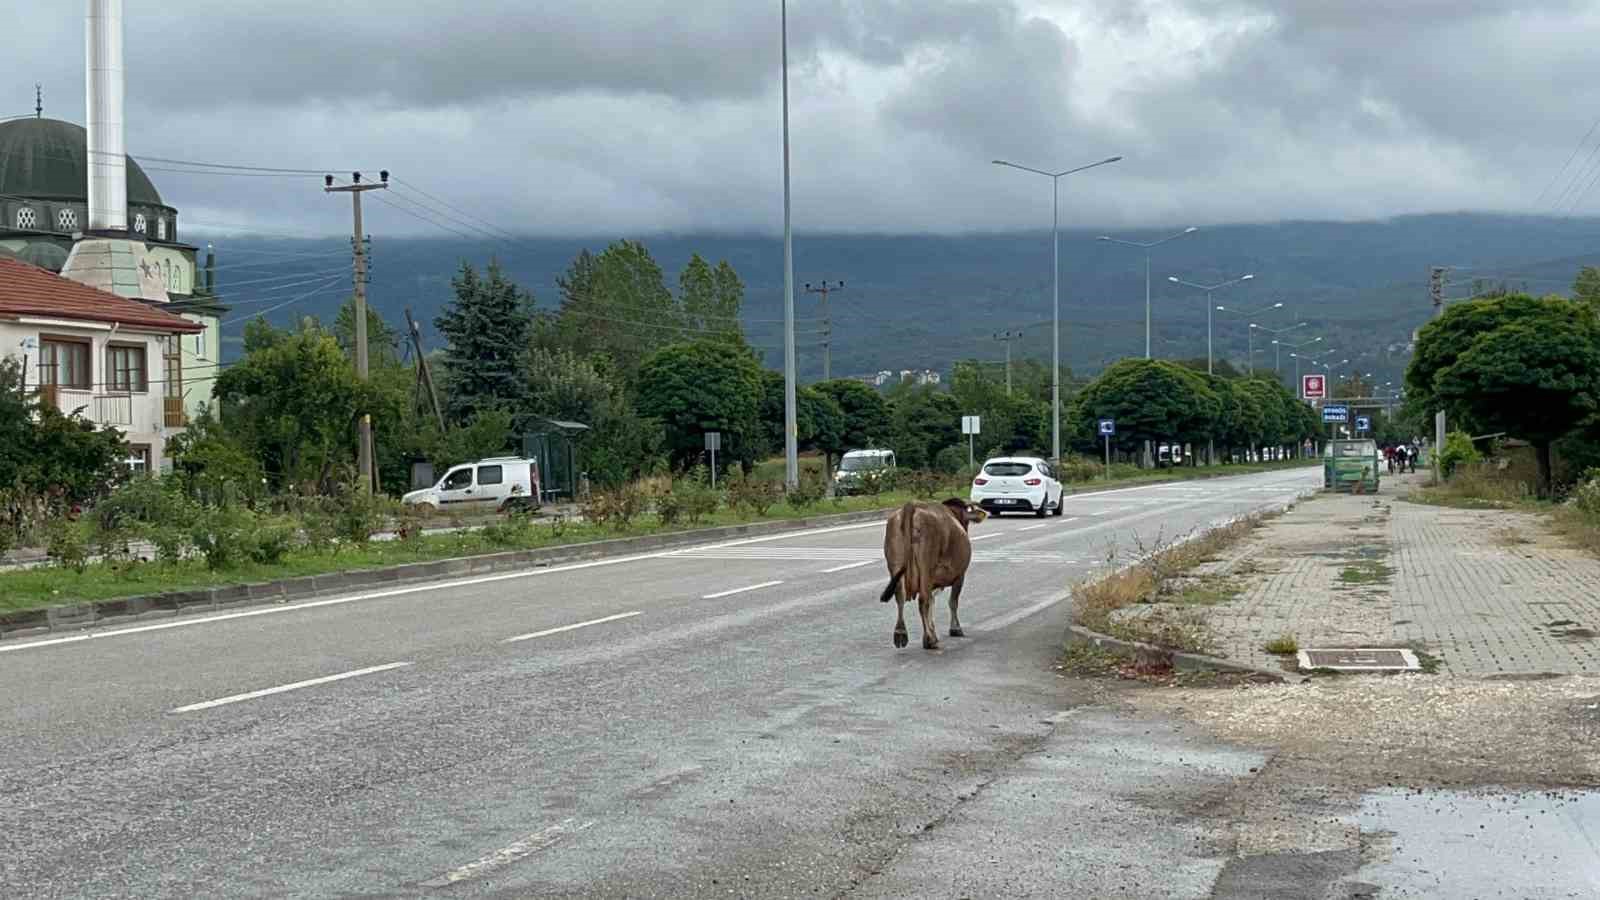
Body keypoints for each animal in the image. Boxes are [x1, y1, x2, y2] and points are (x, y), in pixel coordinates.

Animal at [883, 493, 979, 646]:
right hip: (926, 565)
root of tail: (912, 506)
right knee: (923, 600)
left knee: (900, 597)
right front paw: (955, 628)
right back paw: (929, 641)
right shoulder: (959, 575)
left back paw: (901, 634)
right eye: (967, 521)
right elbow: (953, 601)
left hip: (895, 561)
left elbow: (933, 602)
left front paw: (932, 630)